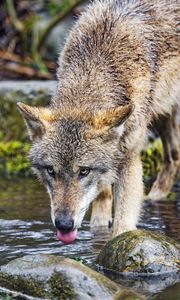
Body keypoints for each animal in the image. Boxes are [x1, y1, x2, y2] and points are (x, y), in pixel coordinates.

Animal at [17, 0, 179, 244]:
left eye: (83, 171)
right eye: (51, 171)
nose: (64, 224)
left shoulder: (129, 156)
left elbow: (123, 223)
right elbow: (101, 205)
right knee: (173, 157)